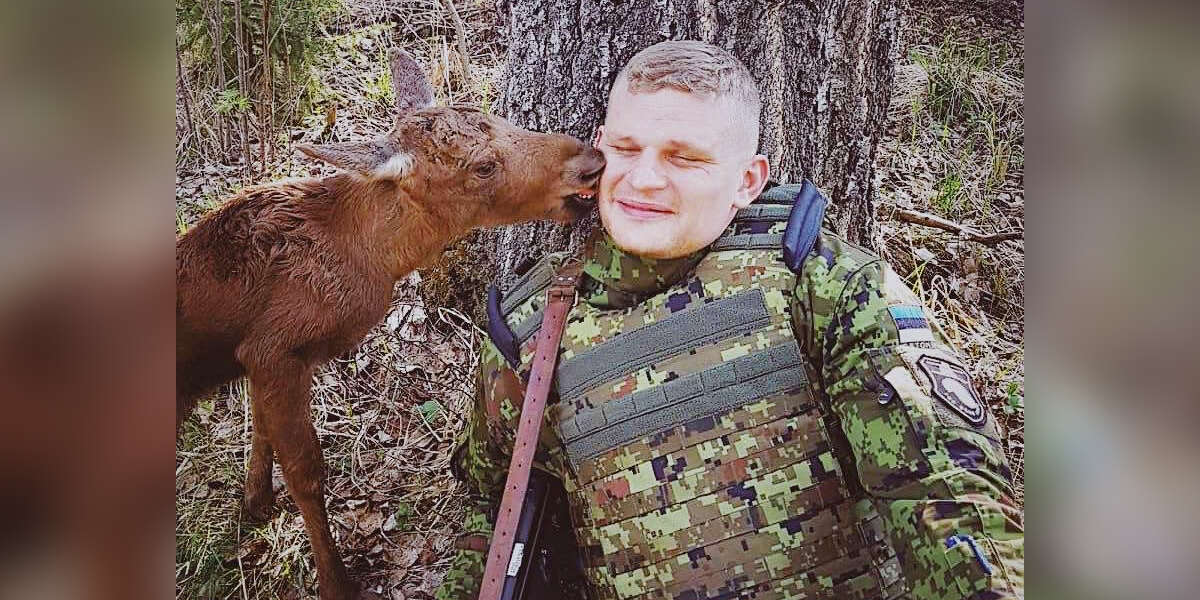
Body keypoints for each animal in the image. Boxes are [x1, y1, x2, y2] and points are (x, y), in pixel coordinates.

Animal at [174, 50, 604, 600]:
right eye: (482, 166)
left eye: (500, 118)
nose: (589, 160)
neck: (371, 260)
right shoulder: (275, 349)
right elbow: (306, 471)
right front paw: (336, 582)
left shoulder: (258, 355)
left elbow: (264, 426)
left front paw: (256, 501)